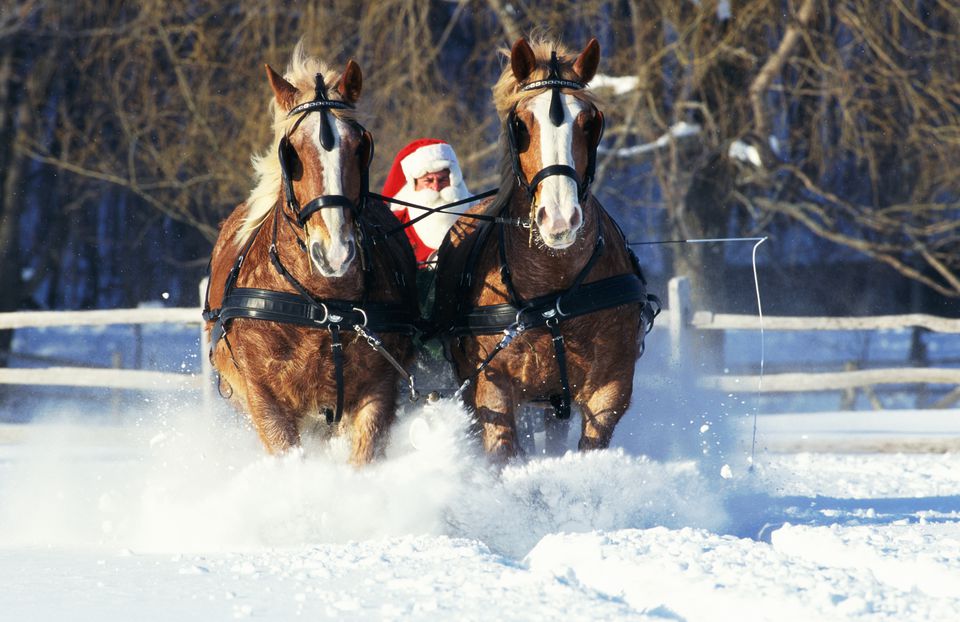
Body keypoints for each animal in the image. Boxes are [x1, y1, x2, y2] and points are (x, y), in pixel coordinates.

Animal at [202, 46, 416, 466]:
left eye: (360, 147)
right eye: (292, 151)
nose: (334, 251)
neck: (326, 307)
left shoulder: (379, 389)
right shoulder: (265, 398)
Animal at [436, 36, 660, 460]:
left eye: (589, 123)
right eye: (520, 124)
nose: (559, 219)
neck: (552, 290)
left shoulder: (610, 385)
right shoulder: (492, 388)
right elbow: (502, 449)